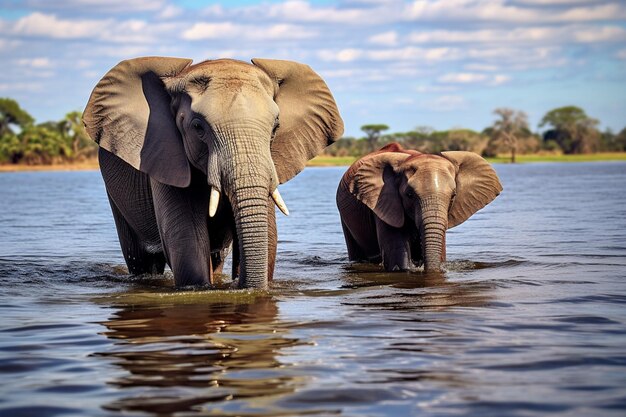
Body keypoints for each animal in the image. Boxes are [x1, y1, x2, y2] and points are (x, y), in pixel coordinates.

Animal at [82, 57, 342, 288]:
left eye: (275, 127)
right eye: (197, 127)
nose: (240, 283)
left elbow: (268, 234)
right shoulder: (164, 153)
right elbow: (187, 240)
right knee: (141, 258)